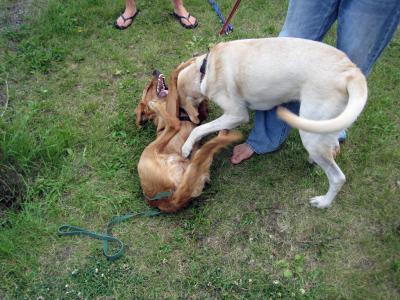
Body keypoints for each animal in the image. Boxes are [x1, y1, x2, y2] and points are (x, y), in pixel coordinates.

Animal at [135, 61, 241, 212]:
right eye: (149, 87)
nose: (155, 71)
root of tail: (167, 201)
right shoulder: (172, 109)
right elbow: (174, 81)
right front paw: (184, 66)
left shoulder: (198, 115)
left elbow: (201, 111)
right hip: (150, 150)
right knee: (174, 124)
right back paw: (155, 106)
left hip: (197, 169)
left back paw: (224, 131)